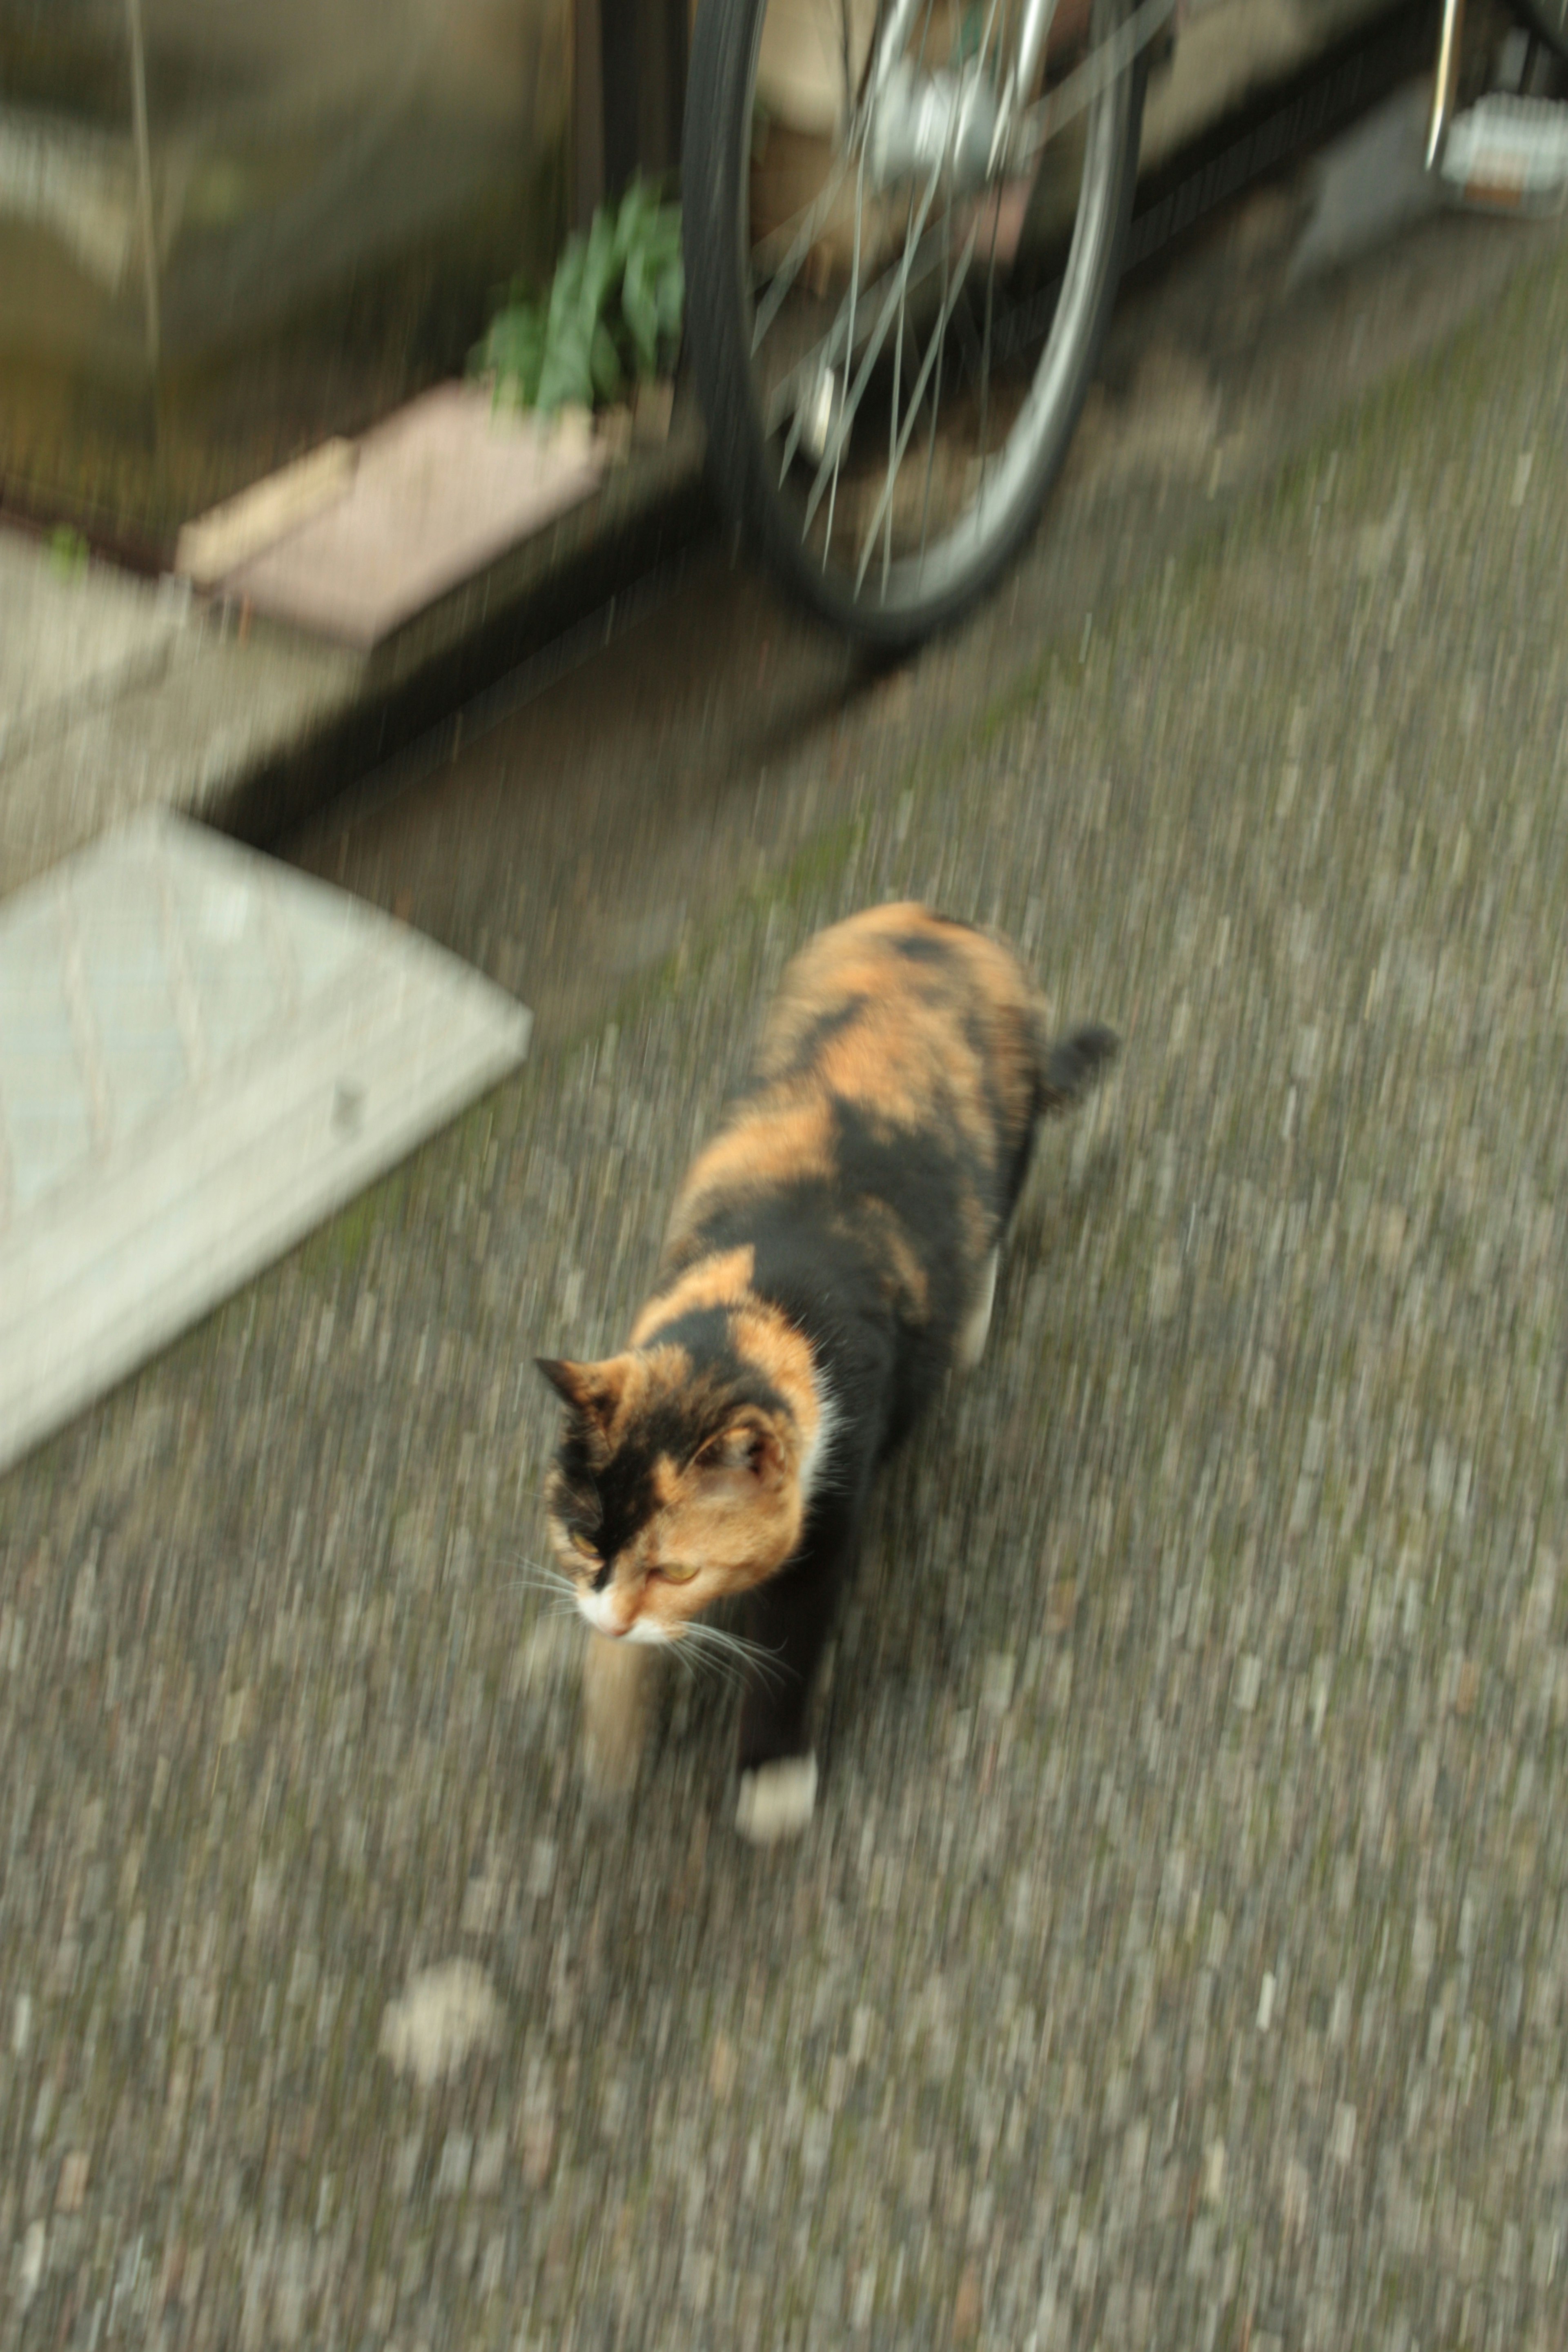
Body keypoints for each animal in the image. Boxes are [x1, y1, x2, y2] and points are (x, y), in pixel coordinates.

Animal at [541, 898, 1114, 1834]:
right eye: (585, 1537)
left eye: (678, 1570)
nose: (619, 1622)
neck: (758, 1303)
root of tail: (940, 920)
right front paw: (611, 1738)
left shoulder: (829, 1506)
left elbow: (788, 1644)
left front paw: (771, 1778)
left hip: (1013, 1122)